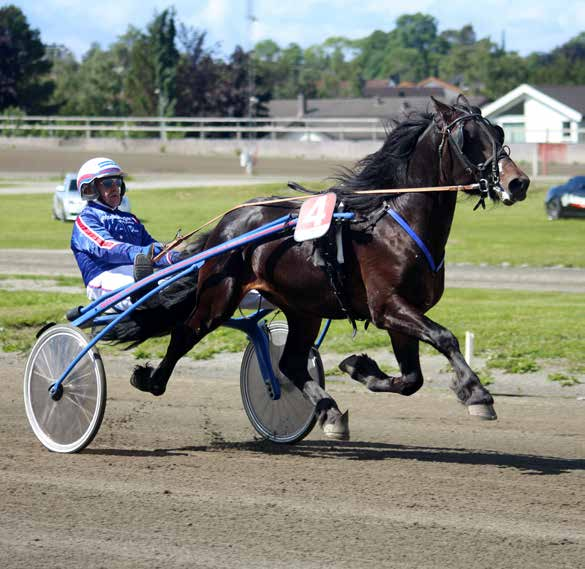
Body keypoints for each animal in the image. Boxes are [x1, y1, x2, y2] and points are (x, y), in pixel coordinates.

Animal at [128, 98, 528, 440]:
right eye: (469, 138)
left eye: (498, 133)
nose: (518, 182)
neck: (394, 225)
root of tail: (230, 220)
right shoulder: (388, 307)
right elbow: (444, 338)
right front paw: (477, 394)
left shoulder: (402, 313)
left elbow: (412, 379)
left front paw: (360, 368)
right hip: (219, 294)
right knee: (186, 331)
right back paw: (151, 380)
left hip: (302, 308)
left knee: (290, 363)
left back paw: (330, 412)